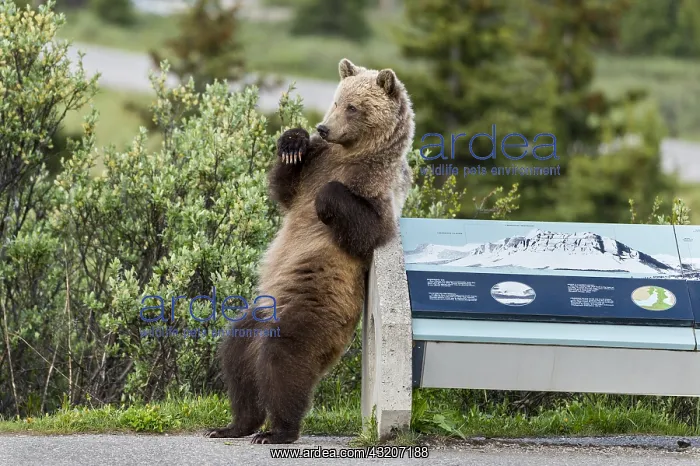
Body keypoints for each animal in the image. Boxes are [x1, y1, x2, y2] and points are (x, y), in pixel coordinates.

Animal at [205, 58, 415, 444]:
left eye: (353, 107)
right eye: (336, 99)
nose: (324, 127)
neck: (351, 154)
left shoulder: (379, 194)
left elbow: (365, 231)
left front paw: (326, 199)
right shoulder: (315, 167)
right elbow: (285, 188)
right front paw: (292, 141)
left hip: (315, 303)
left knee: (285, 356)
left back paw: (277, 431)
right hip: (261, 308)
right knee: (237, 353)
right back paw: (236, 424)